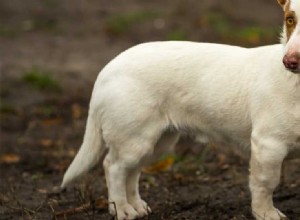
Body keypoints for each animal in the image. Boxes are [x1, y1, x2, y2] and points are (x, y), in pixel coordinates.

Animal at [61, 0, 300, 219]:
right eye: (290, 19)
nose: (290, 62)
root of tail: (107, 69)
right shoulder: (268, 145)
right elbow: (265, 184)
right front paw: (266, 213)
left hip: (156, 142)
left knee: (132, 172)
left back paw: (137, 206)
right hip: (133, 139)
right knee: (114, 167)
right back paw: (122, 209)